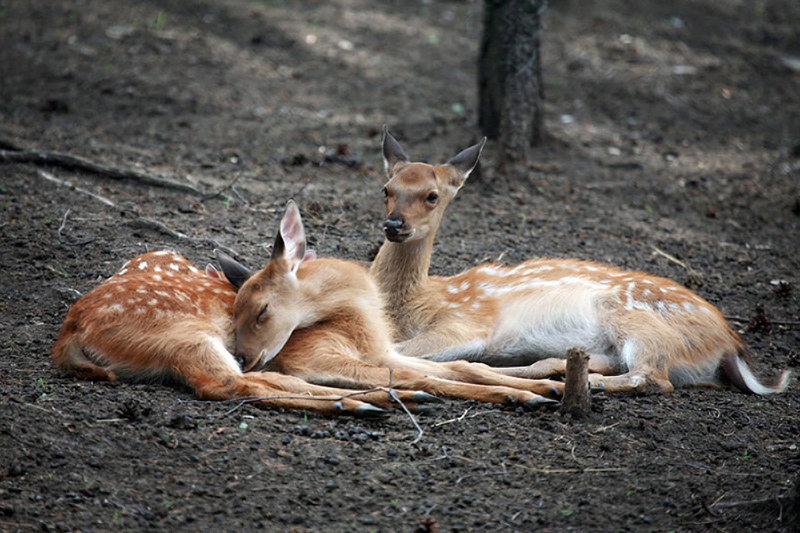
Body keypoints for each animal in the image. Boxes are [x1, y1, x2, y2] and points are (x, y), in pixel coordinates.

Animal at [50, 247, 440, 418]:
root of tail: (72, 327)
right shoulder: (308, 353)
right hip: (184, 336)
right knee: (229, 384)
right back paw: (368, 403)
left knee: (258, 381)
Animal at [212, 200, 564, 408]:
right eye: (233, 314)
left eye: (263, 309)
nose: (242, 358)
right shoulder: (313, 359)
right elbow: (422, 376)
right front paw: (521, 394)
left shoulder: (384, 351)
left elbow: (463, 367)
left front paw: (546, 389)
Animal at [368, 128, 788, 394]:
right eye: (386, 189)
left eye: (432, 195)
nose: (394, 224)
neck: (418, 301)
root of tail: (731, 343)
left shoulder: (466, 322)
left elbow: (400, 350)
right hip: (615, 342)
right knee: (612, 365)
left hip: (637, 321)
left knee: (652, 378)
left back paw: (587, 386)